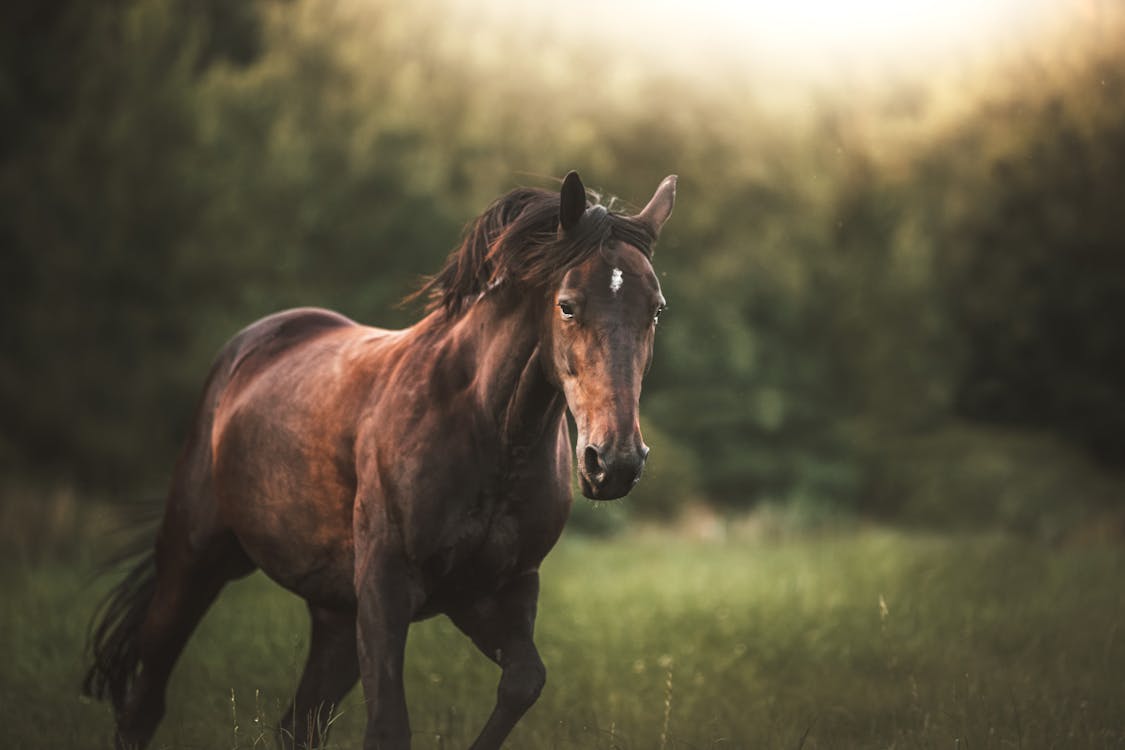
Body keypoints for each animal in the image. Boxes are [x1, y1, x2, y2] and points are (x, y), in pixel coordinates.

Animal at [81, 172, 675, 750]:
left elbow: (524, 683)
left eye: (655, 309)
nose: (614, 461)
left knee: (296, 726)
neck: (489, 433)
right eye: (567, 304)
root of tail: (244, 352)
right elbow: (389, 727)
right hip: (193, 564)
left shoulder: (495, 591)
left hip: (336, 618)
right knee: (143, 708)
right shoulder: (389, 587)